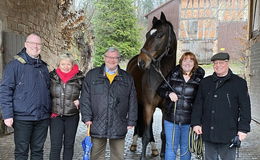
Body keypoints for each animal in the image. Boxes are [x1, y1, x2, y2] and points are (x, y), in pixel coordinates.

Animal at [127, 12, 178, 159]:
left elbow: (164, 134)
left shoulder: (165, 109)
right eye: (147, 35)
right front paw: (142, 156)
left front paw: (163, 154)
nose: (142, 62)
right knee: (143, 125)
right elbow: (145, 134)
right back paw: (134, 144)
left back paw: (154, 148)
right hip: (141, 103)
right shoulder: (148, 106)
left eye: (160, 35)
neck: (161, 77)